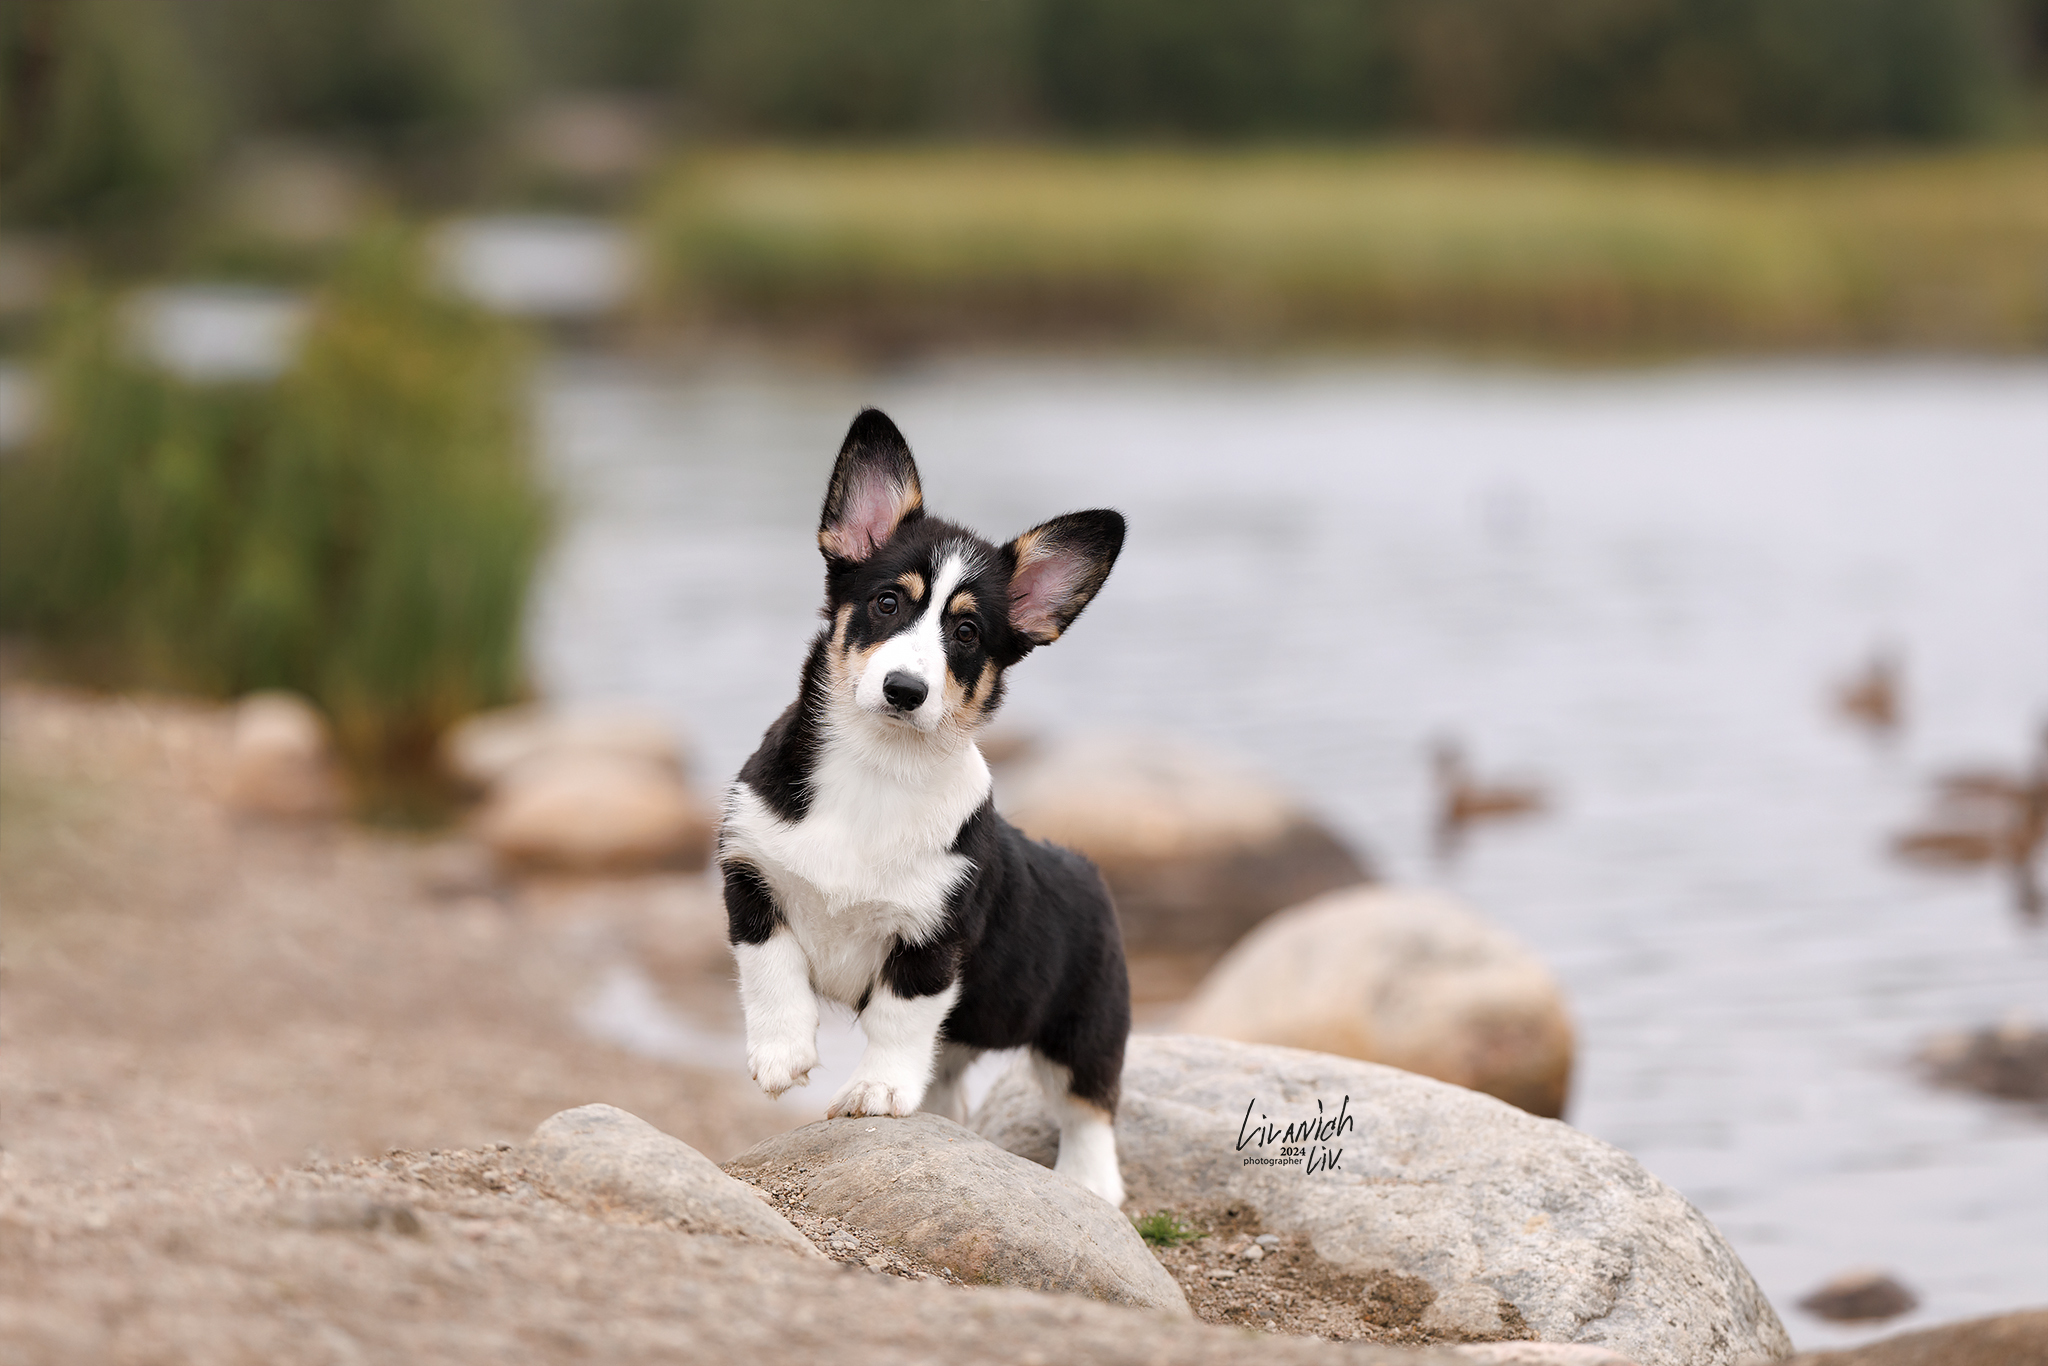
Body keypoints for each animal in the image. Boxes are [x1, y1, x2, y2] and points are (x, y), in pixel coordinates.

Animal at [720, 409, 1138, 1204]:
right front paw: (781, 1057)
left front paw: (876, 1092)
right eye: (888, 602)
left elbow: (895, 1020)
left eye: (967, 633)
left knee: (1088, 1106)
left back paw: (1090, 1184)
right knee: (950, 1082)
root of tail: (1089, 871)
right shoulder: (749, 877)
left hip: (1086, 1026)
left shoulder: (931, 941)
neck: (878, 770)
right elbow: (771, 968)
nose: (905, 691)